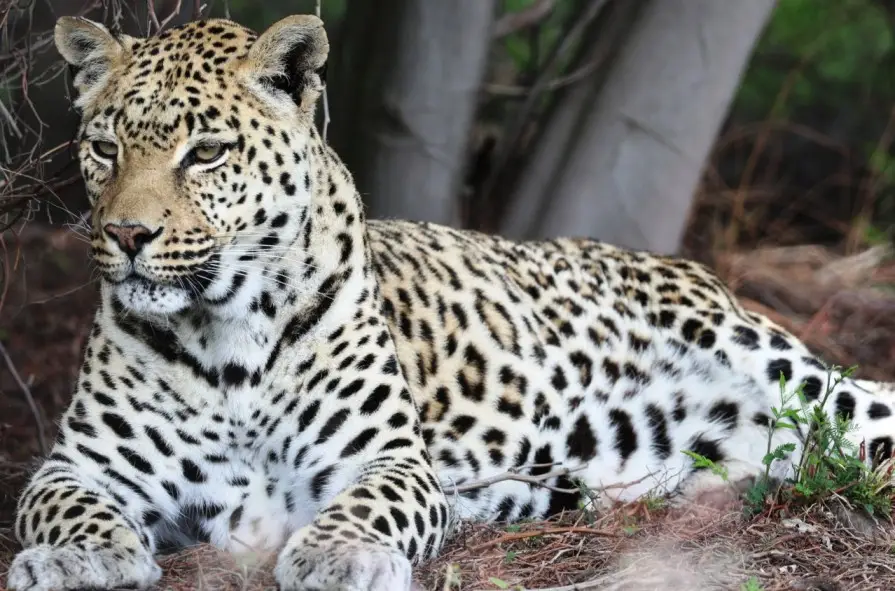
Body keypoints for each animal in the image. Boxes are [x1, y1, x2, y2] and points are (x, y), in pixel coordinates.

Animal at [7, 13, 895, 591]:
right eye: (104, 147)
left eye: (206, 153)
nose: (126, 233)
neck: (224, 339)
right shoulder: (78, 463)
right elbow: (60, 506)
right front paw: (72, 558)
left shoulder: (388, 458)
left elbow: (369, 505)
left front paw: (340, 555)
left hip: (776, 364)